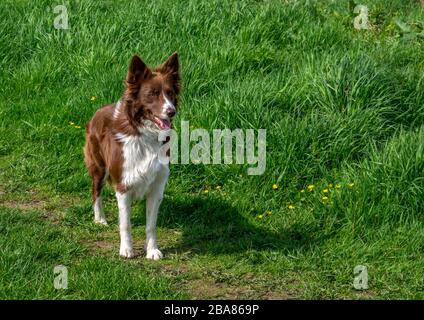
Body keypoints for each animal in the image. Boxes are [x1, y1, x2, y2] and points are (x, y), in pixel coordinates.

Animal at [83, 52, 180, 260]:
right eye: (152, 94)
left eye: (170, 93)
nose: (171, 111)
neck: (145, 134)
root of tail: (99, 110)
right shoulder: (123, 185)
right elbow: (125, 224)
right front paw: (126, 249)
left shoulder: (156, 187)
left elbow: (151, 225)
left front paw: (152, 250)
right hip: (99, 167)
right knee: (96, 192)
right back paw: (100, 219)